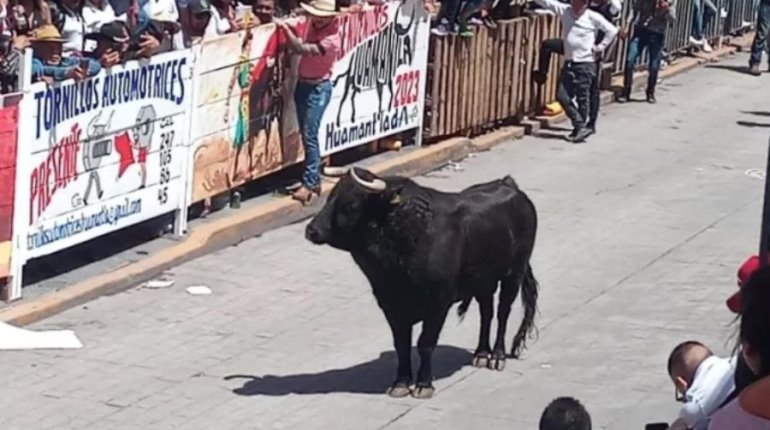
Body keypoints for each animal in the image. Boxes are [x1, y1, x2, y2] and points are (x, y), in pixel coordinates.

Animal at [304, 166, 536, 398]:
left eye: (350, 205)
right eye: (330, 197)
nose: (311, 230)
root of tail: (508, 184)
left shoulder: (438, 304)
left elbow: (425, 343)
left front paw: (424, 385)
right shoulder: (391, 305)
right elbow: (402, 345)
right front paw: (400, 383)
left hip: (514, 273)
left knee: (503, 312)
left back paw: (497, 356)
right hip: (483, 281)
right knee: (486, 311)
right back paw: (481, 353)